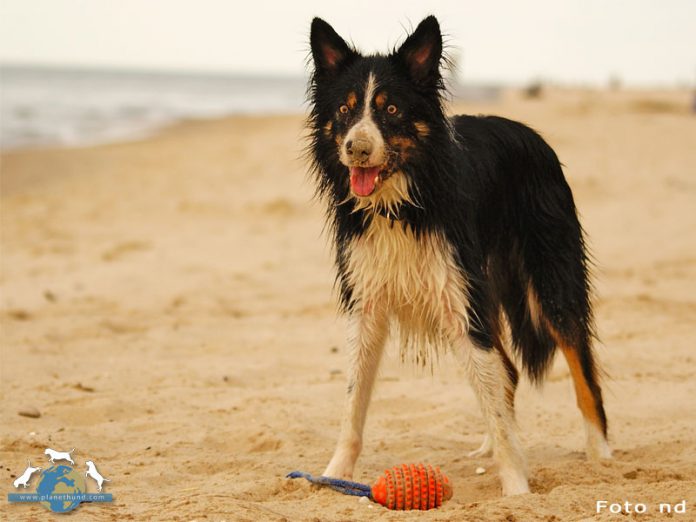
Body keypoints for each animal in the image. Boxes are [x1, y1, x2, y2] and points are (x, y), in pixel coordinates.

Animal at [308, 17, 612, 496]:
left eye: (390, 109)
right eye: (344, 110)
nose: (356, 148)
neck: (401, 204)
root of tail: (530, 133)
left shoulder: (457, 294)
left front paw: (517, 490)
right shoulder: (369, 301)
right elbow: (353, 402)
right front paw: (335, 473)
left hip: (548, 275)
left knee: (578, 360)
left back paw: (600, 453)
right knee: (505, 371)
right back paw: (489, 443)